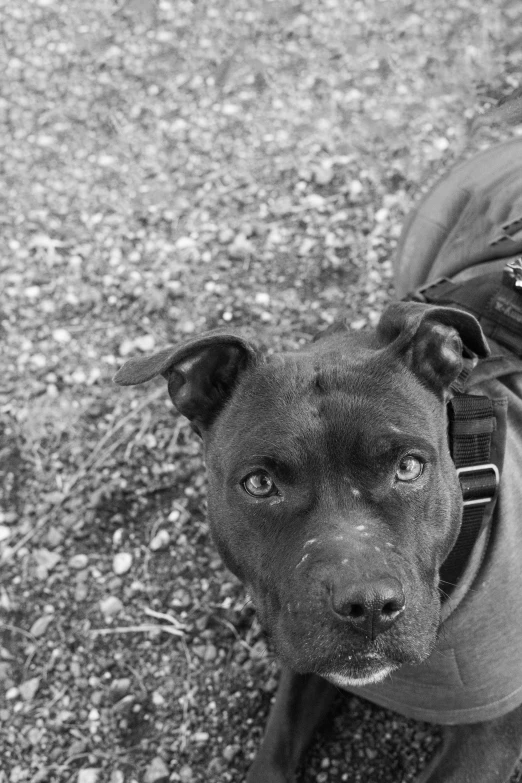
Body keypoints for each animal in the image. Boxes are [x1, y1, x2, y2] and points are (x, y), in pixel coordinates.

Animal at [115, 142, 522, 783]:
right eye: (259, 484)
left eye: (410, 467)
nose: (367, 606)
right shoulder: (300, 653)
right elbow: (274, 752)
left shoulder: (491, 735)